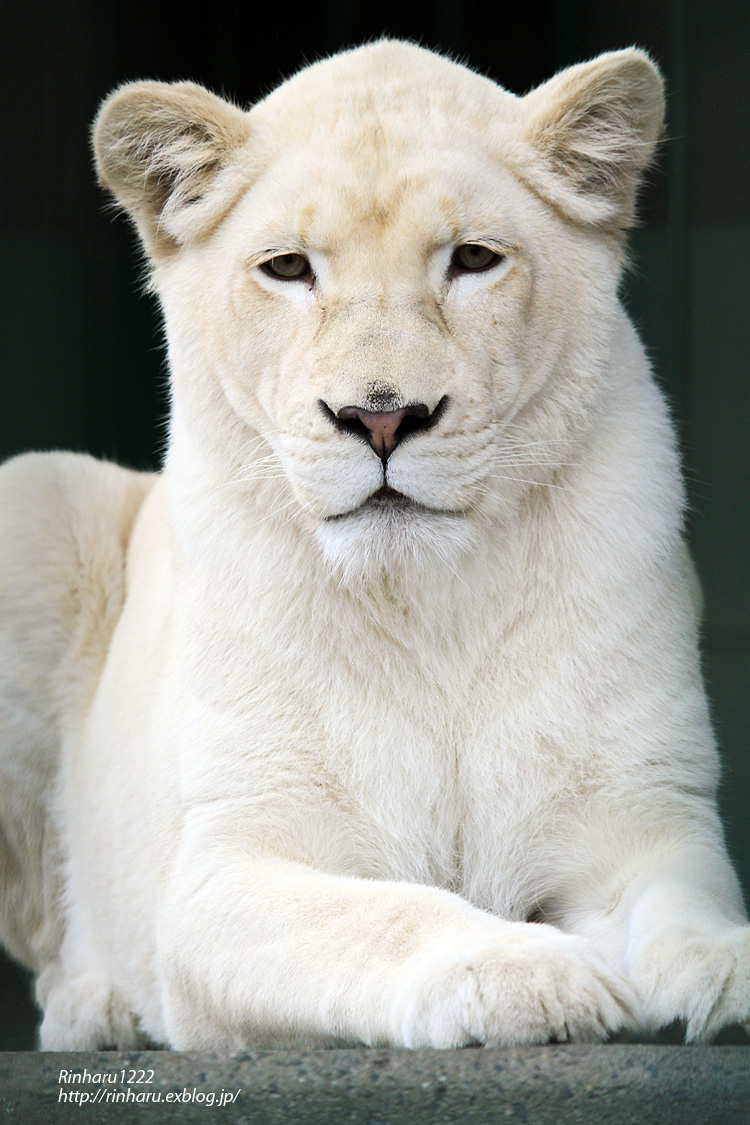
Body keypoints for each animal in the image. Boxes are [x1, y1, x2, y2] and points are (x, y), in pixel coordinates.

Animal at [1, 39, 750, 1048]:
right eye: (287, 268)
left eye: (473, 259)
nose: (383, 417)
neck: (427, 602)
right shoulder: (222, 869)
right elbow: (394, 911)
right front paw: (526, 970)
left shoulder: (643, 820)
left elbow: (685, 909)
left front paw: (725, 968)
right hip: (32, 500)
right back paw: (98, 1006)